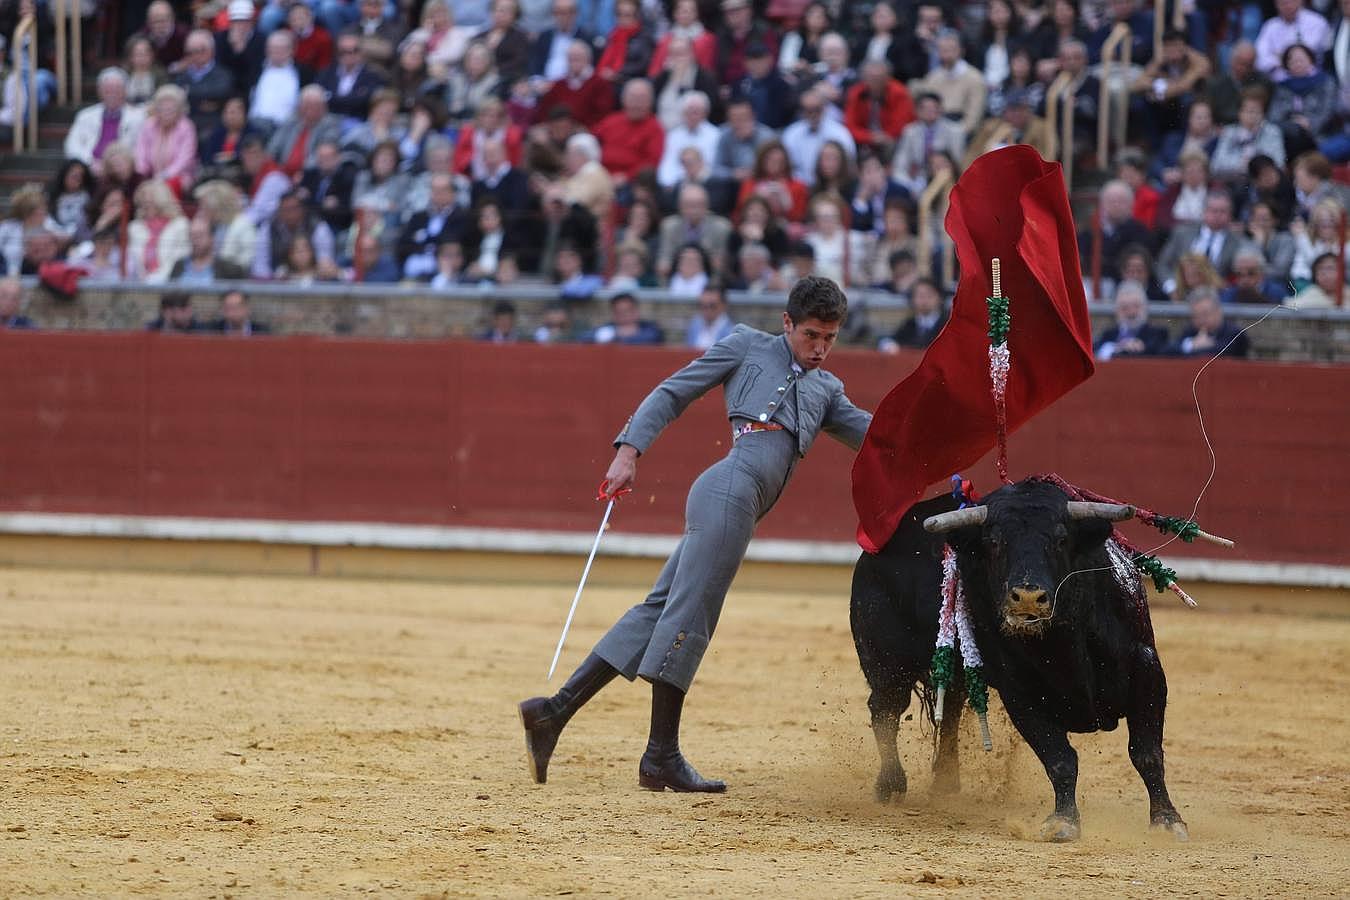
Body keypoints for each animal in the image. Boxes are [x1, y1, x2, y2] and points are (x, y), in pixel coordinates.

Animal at [847, 483, 1188, 841]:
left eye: (1061, 538)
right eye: (994, 542)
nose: (1027, 598)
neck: (1060, 641)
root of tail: (875, 548)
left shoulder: (1146, 669)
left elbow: (1147, 754)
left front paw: (1167, 821)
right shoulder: (1020, 693)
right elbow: (1059, 758)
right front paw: (1063, 822)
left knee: (950, 707)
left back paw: (945, 782)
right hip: (887, 664)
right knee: (885, 709)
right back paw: (891, 785)